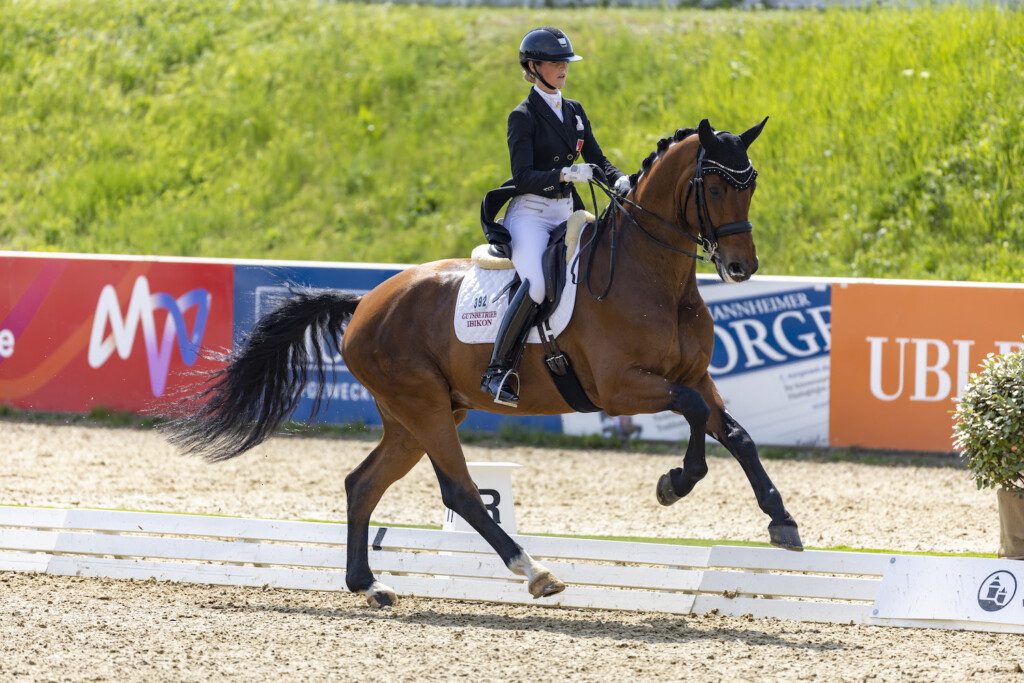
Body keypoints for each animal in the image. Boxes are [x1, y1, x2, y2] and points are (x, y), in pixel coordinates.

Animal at [163, 117, 802, 610]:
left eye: (751, 185)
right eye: (713, 189)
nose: (742, 267)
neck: (653, 278)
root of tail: (365, 302)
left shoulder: (694, 376)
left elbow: (734, 432)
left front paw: (781, 522)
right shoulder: (621, 388)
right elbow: (693, 414)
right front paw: (676, 481)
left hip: (417, 416)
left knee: (362, 483)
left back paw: (369, 585)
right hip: (423, 407)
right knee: (461, 492)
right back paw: (534, 572)